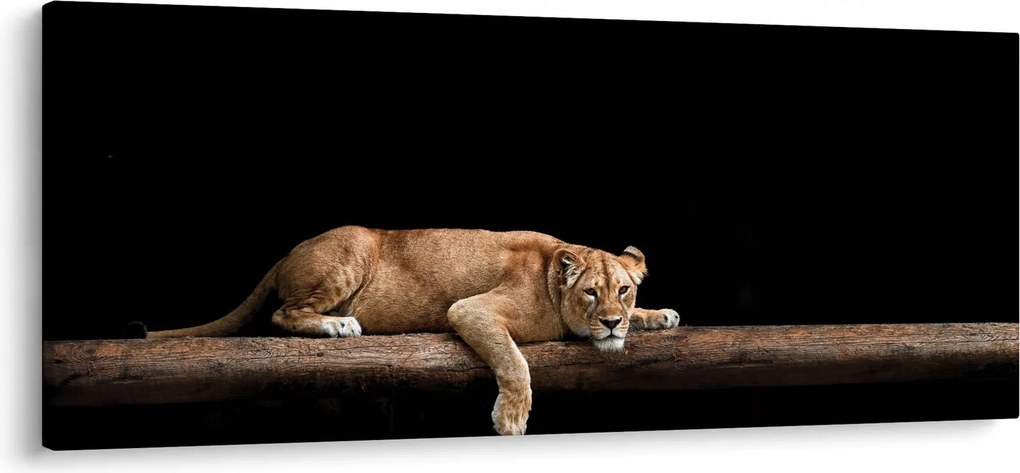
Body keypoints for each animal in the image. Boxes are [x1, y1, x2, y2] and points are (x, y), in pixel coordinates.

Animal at [142, 226, 680, 435]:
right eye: (591, 293)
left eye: (624, 291)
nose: (610, 321)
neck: (553, 275)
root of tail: (289, 251)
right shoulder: (470, 311)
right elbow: (514, 361)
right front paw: (511, 418)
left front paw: (658, 315)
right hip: (353, 251)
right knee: (282, 315)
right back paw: (339, 323)